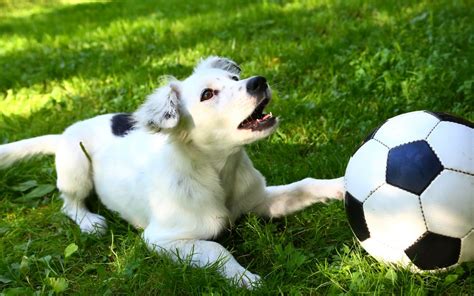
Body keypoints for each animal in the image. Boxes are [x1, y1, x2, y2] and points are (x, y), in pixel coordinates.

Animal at [0, 56, 344, 288]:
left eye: (234, 77)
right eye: (207, 94)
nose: (259, 80)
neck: (220, 171)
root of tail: (63, 134)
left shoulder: (261, 201)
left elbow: (305, 185)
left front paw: (341, 185)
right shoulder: (161, 239)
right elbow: (216, 248)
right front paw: (245, 278)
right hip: (76, 168)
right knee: (69, 203)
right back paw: (89, 221)